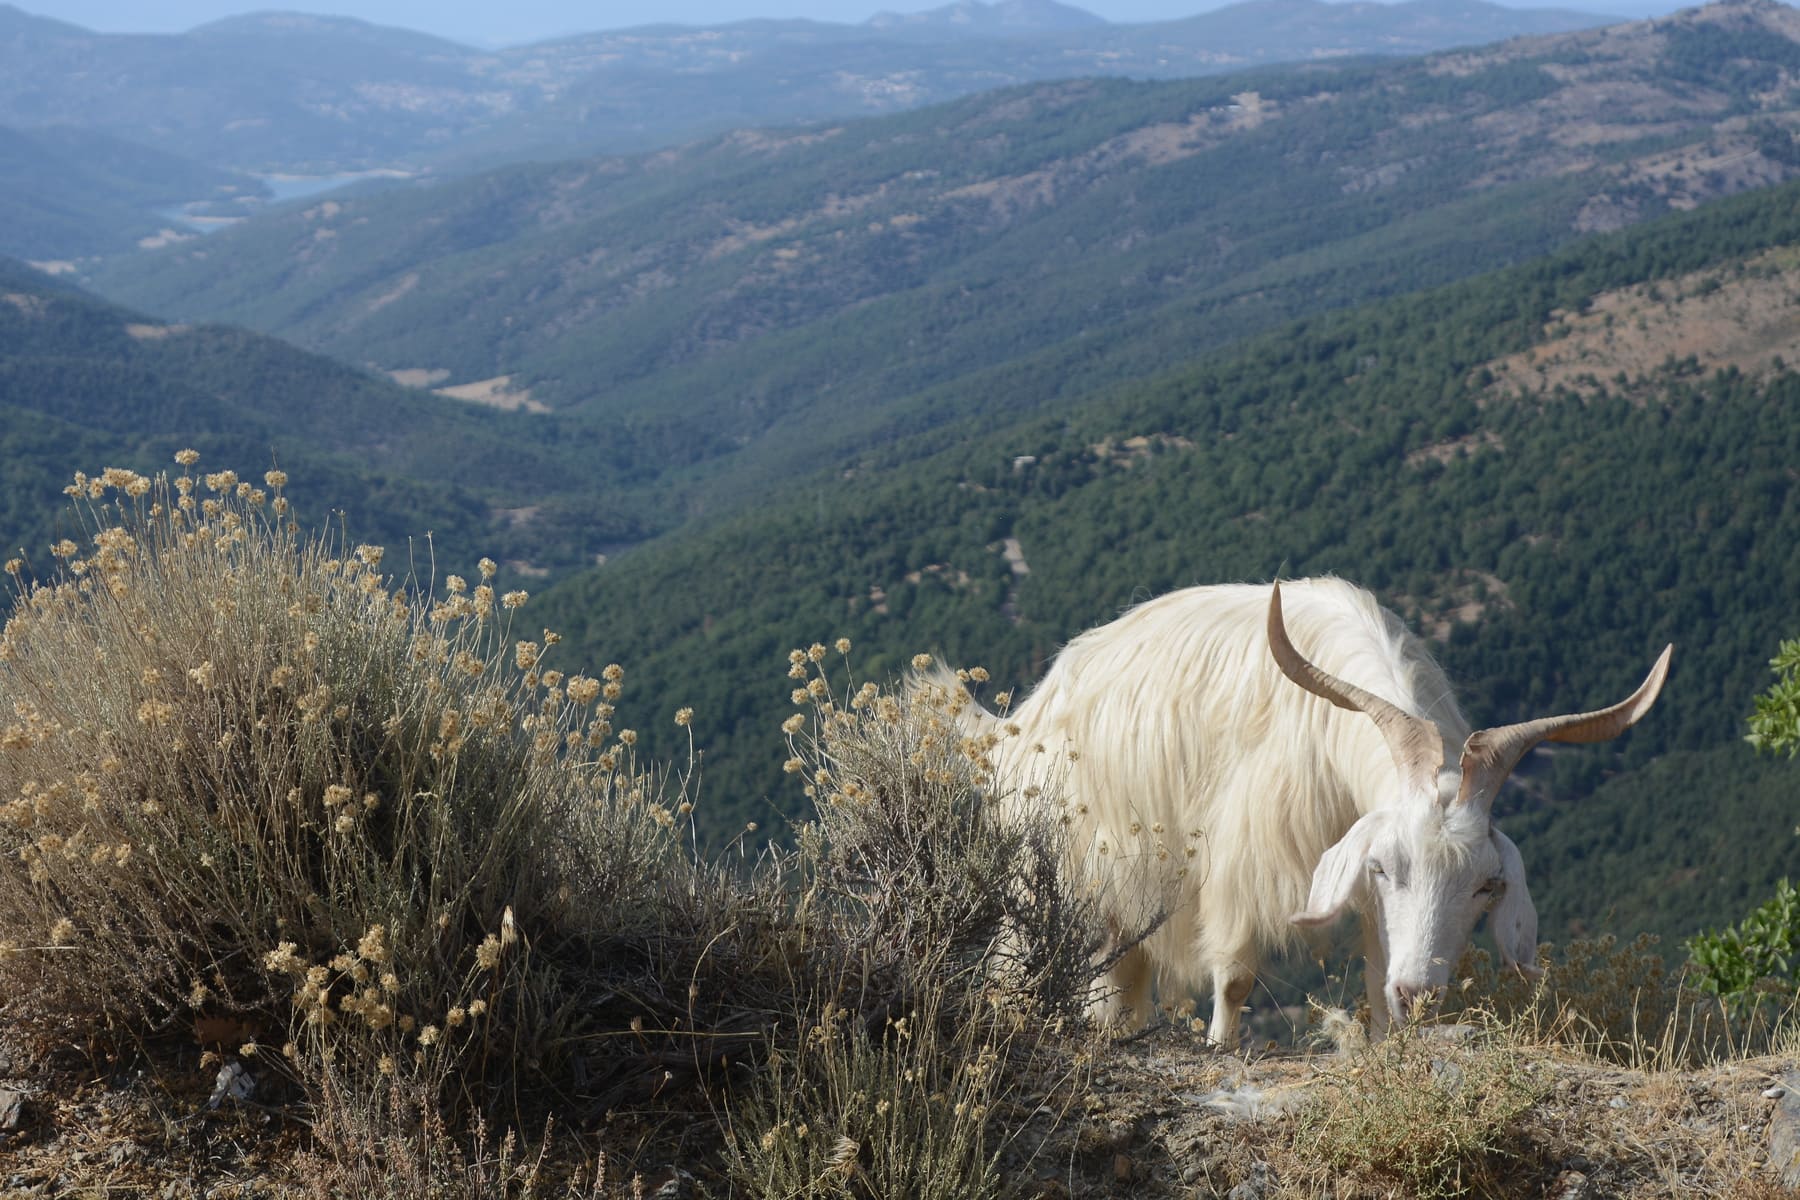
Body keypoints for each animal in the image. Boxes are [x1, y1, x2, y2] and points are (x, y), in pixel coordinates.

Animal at [936, 575, 1663, 1043]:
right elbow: (1234, 975)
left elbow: (1374, 976)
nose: (1420, 997)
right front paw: (1221, 1049)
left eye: (1488, 886)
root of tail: (1018, 726)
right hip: (1047, 880)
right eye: (1386, 868)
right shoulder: (1242, 860)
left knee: (1115, 984)